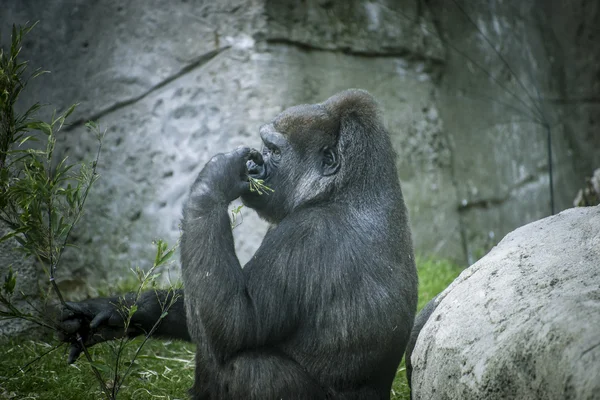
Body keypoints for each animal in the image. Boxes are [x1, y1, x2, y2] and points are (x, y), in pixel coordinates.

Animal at [59, 90, 418, 400]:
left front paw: (215, 179)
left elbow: (235, 325)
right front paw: (118, 309)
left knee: (247, 366)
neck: (343, 188)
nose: (255, 166)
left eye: (274, 151)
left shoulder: (306, 234)